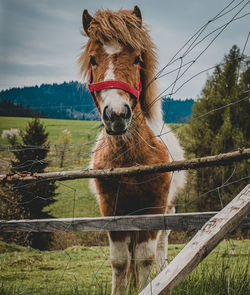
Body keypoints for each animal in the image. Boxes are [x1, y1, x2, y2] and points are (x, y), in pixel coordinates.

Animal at [78, 5, 186, 294]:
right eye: (93, 59)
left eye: (137, 58)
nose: (117, 114)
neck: (129, 159)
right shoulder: (112, 210)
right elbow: (120, 261)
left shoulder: (153, 207)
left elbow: (145, 258)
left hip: (166, 209)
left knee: (160, 245)